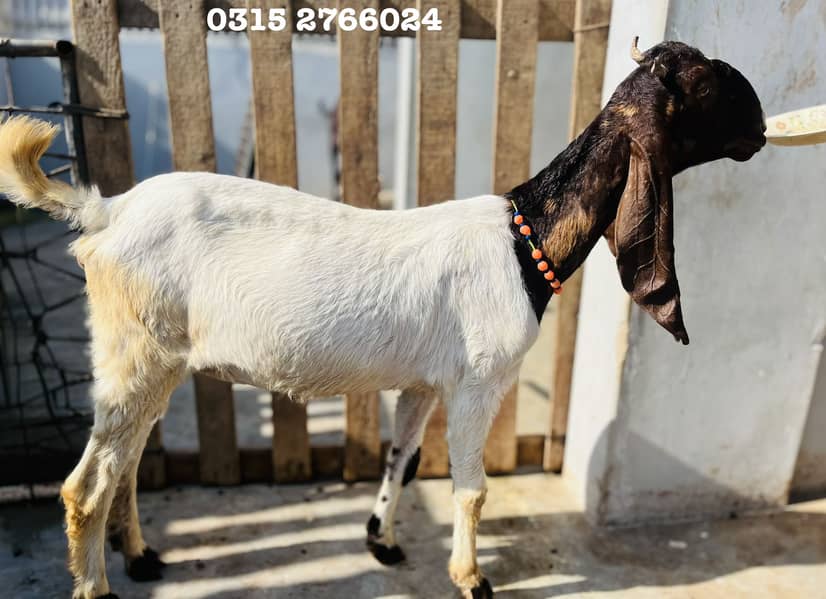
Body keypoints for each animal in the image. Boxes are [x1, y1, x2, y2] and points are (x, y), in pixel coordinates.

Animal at [0, 39, 765, 599]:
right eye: (706, 84)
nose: (760, 129)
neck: (527, 239)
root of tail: (105, 211)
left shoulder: (425, 382)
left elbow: (404, 456)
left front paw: (383, 540)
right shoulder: (479, 382)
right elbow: (471, 488)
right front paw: (471, 578)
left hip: (153, 358)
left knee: (127, 463)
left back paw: (141, 555)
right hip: (137, 351)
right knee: (85, 485)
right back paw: (98, 585)